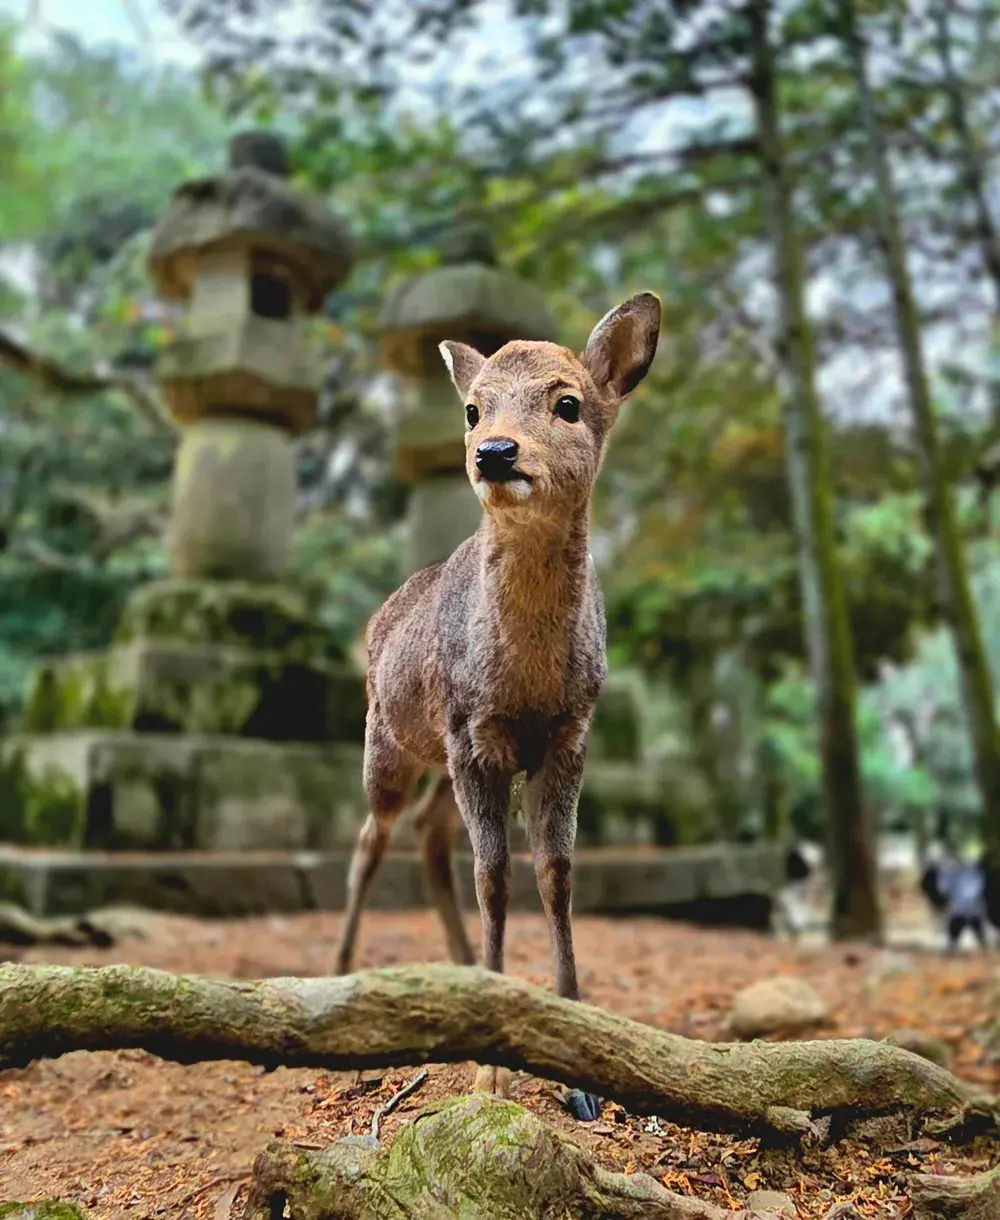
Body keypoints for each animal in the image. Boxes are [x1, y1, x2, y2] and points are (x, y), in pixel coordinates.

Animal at [333, 291, 661, 1116]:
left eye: (568, 403)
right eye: (472, 409)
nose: (495, 452)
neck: (527, 683)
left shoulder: (571, 735)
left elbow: (556, 874)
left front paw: (579, 1069)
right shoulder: (469, 729)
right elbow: (496, 874)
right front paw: (490, 1070)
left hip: (442, 761)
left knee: (429, 834)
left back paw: (464, 973)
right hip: (390, 740)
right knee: (371, 839)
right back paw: (344, 969)